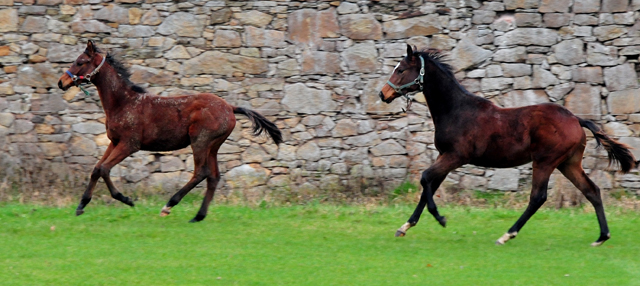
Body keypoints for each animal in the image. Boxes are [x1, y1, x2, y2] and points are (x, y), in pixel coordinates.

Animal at [56, 40, 282, 223]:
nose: (61, 82)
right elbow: (96, 169)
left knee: (201, 173)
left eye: (80, 61)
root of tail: (230, 107)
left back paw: (169, 205)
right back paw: (198, 216)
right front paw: (81, 206)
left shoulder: (130, 144)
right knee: (214, 177)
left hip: (200, 141)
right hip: (213, 146)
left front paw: (127, 200)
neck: (123, 103)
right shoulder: (114, 141)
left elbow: (104, 169)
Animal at [380, 44, 636, 246]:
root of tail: (575, 119)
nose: (383, 94)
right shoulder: (444, 156)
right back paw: (602, 236)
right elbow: (429, 187)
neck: (456, 110)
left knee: (538, 197)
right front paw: (404, 227)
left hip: (545, 162)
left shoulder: (455, 156)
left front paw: (441, 219)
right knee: (591, 190)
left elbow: (425, 179)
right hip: (568, 163)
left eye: (401, 70)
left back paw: (506, 235)